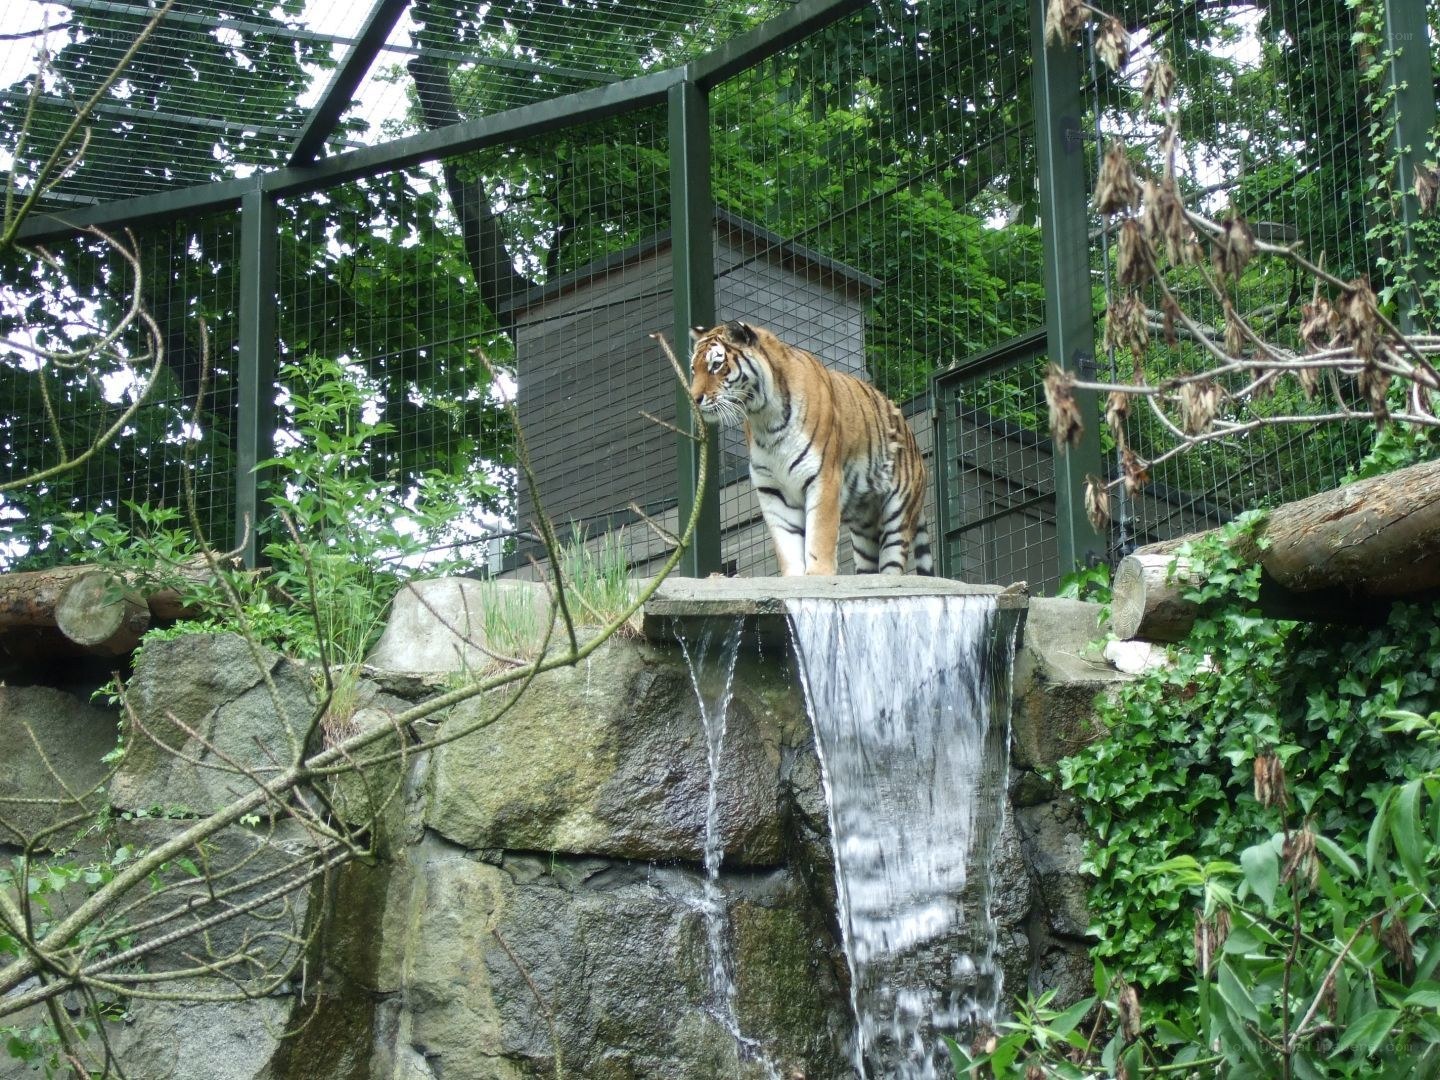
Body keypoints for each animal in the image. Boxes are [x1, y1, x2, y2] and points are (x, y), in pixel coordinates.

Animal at [688, 320, 934, 577]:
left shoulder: (823, 477)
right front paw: (794, 577)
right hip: (865, 531)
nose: (694, 398)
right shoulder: (772, 489)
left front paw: (818, 574)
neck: (765, 418)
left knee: (891, 566)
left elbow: (820, 534)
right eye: (694, 370)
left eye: (716, 365)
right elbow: (786, 542)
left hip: (897, 514)